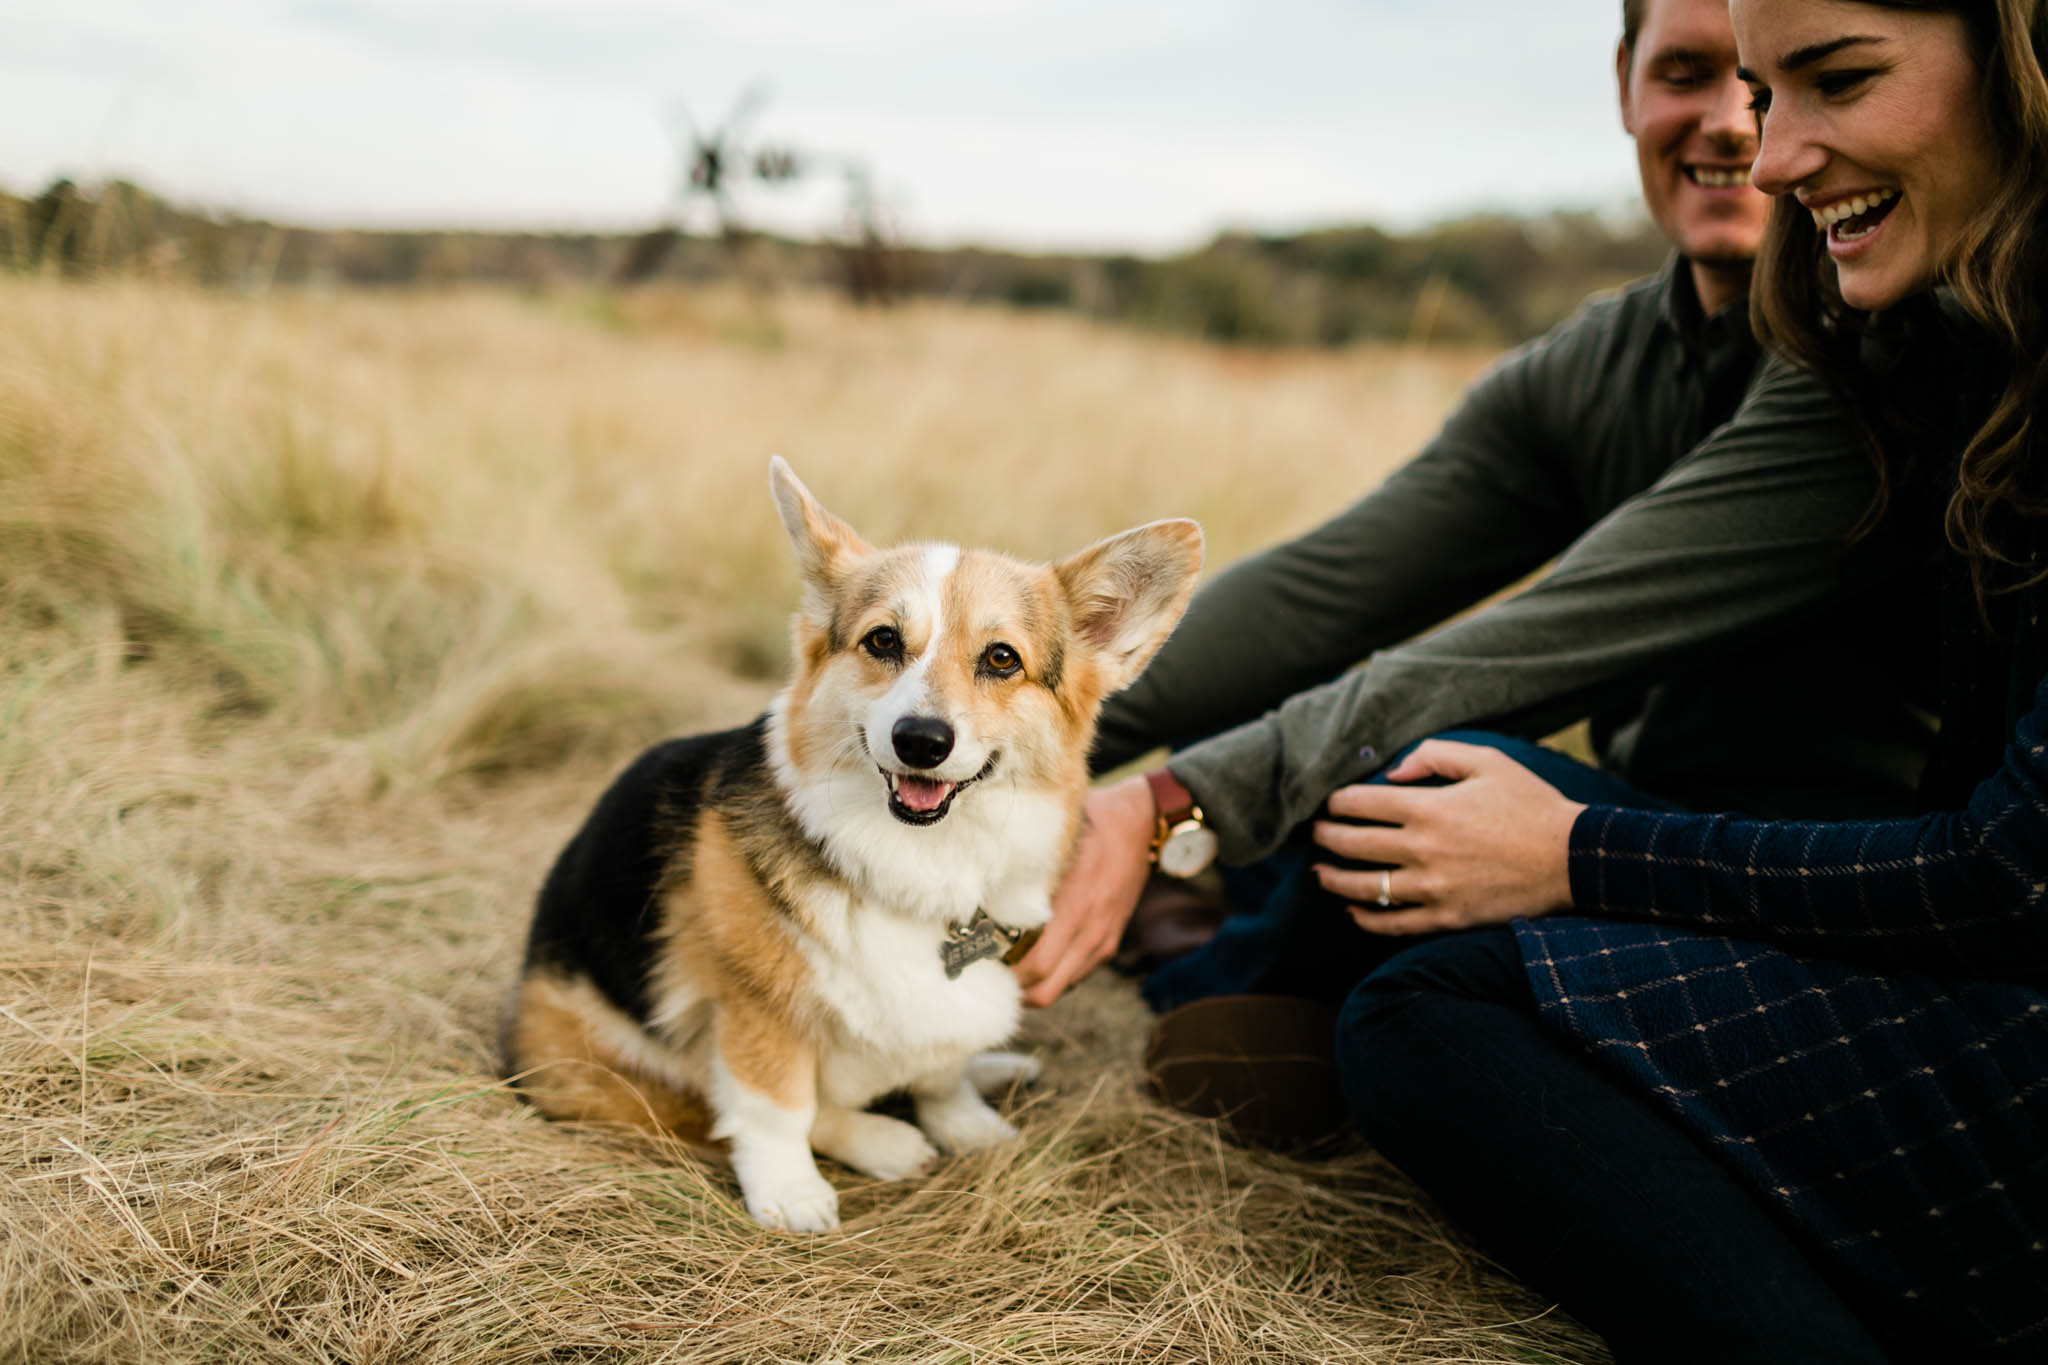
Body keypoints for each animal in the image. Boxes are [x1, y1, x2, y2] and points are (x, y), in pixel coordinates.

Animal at [503, 462, 1196, 1236]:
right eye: (883, 641)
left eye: (1001, 658)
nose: (920, 740)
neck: (925, 859)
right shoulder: (756, 1005)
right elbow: (775, 1106)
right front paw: (790, 1191)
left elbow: (941, 1073)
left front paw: (965, 1119)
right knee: (711, 1100)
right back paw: (885, 1141)